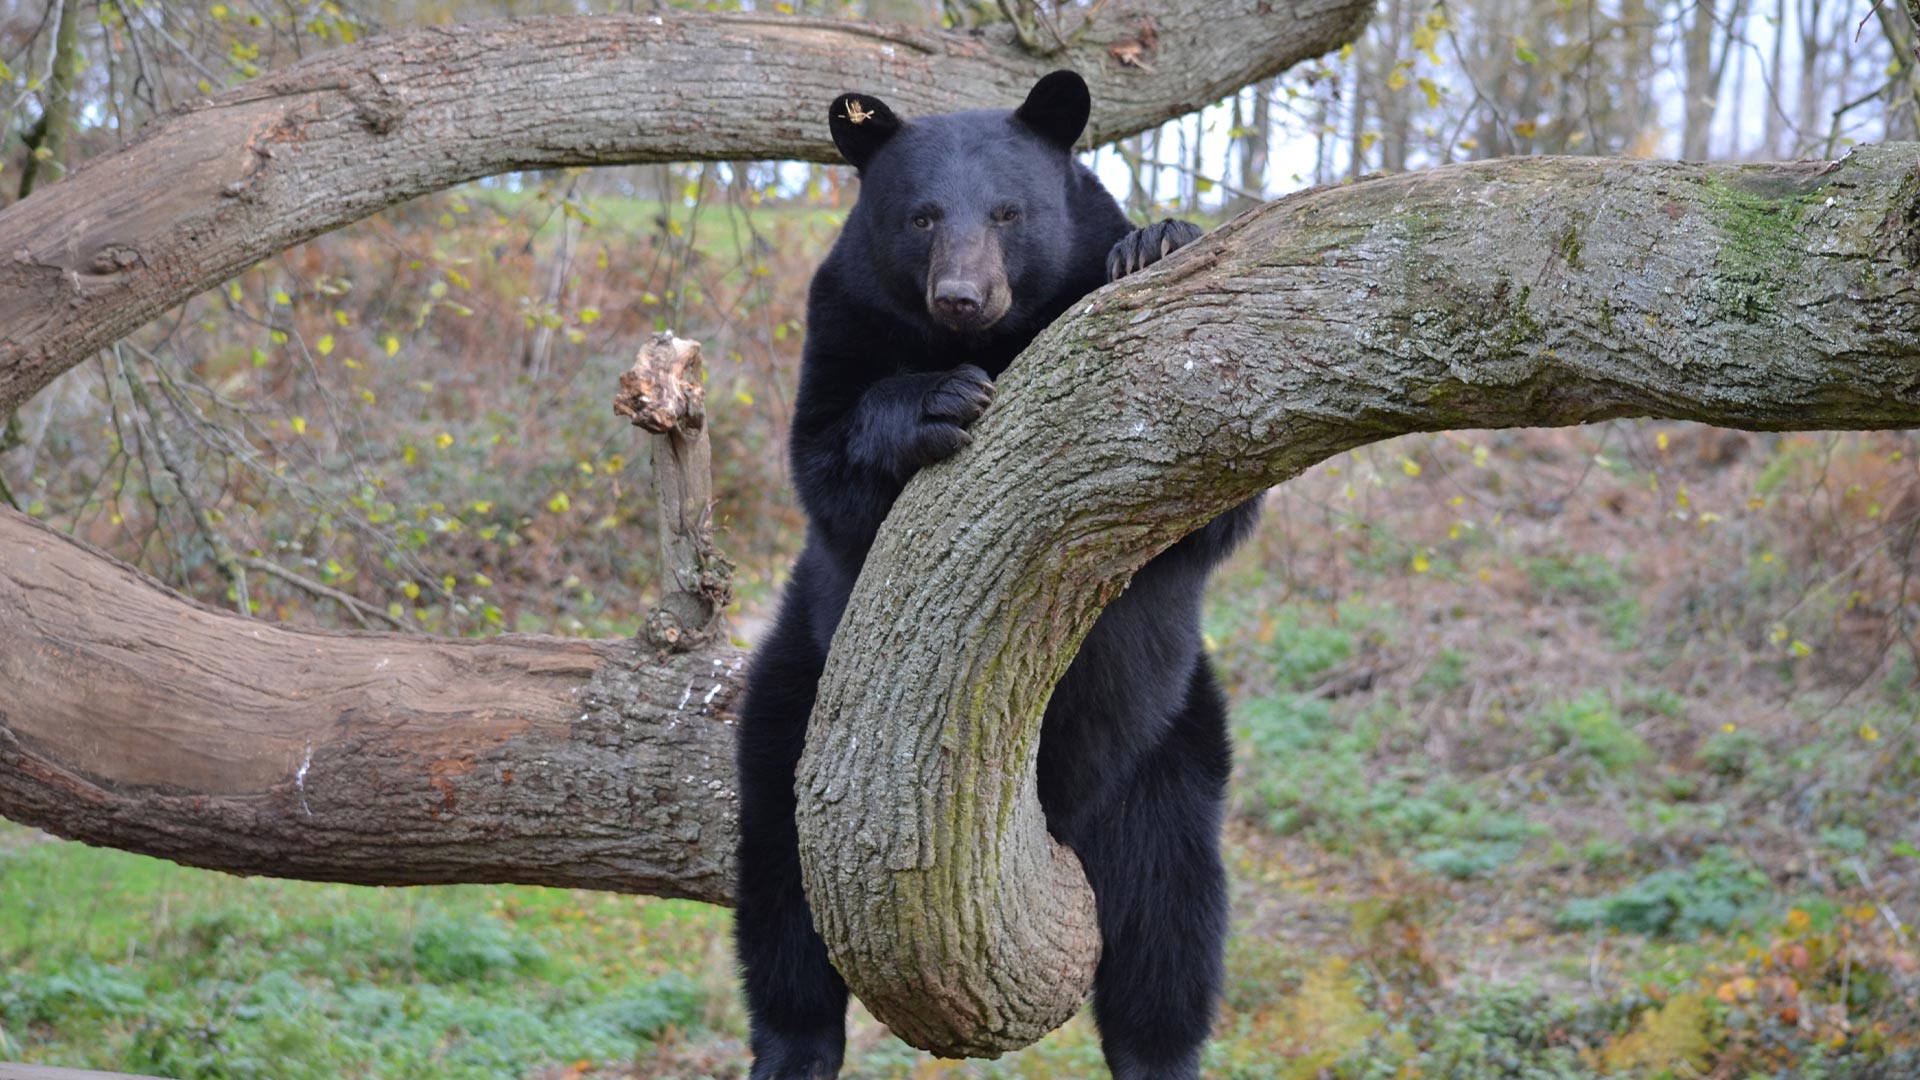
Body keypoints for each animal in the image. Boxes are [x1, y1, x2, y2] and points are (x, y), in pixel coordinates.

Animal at [733, 70, 1261, 1080]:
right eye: (921, 217)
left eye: (1010, 212)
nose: (963, 297)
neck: (998, 335)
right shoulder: (843, 320)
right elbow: (825, 461)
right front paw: (935, 403)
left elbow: (1212, 512)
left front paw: (1159, 240)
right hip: (804, 694)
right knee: (780, 889)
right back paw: (794, 1043)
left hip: (1169, 741)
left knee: (1171, 918)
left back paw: (1157, 1049)